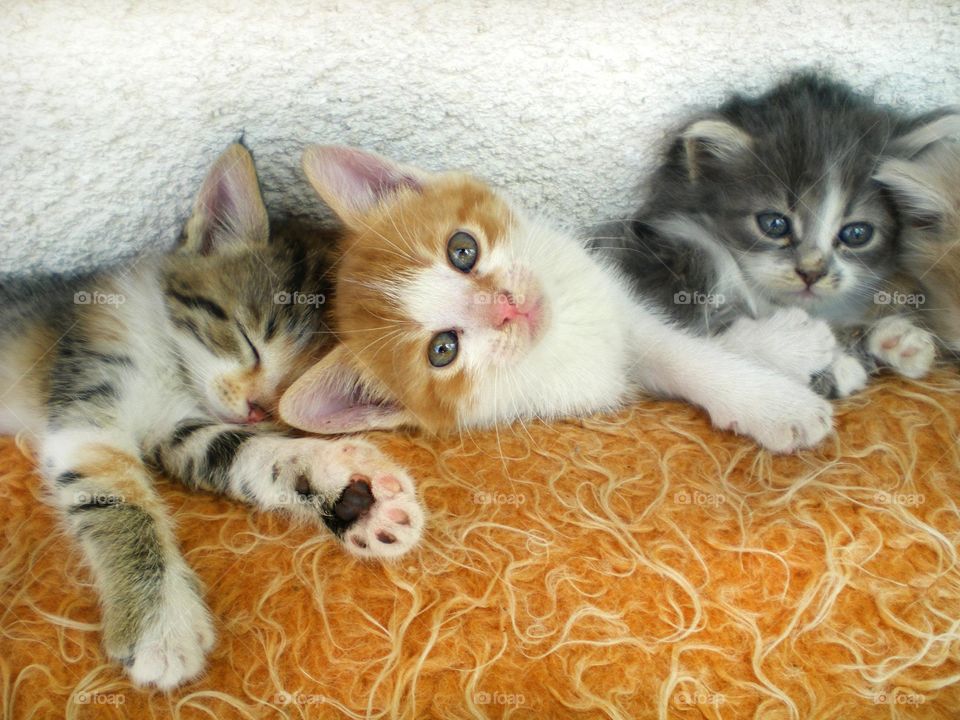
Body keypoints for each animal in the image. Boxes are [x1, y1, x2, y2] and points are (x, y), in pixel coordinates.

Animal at [0, 143, 422, 688]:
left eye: (291, 386)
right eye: (246, 340)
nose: (257, 407)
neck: (173, 366)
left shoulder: (181, 429)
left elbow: (240, 452)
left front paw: (349, 488)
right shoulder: (88, 402)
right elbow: (117, 501)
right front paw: (160, 623)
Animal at [280, 143, 840, 452]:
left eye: (462, 250)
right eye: (443, 350)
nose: (507, 307)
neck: (563, 330)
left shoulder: (614, 301)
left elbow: (685, 349)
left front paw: (785, 349)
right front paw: (779, 405)